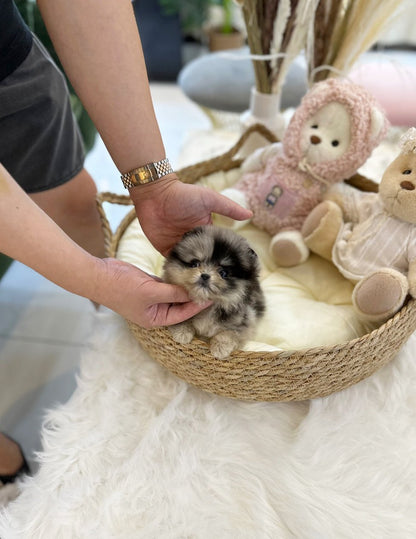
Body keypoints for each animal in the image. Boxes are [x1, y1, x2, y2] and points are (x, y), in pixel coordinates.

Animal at [162, 226, 264, 360]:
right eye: (195, 263)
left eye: (223, 273)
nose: (205, 275)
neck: (207, 307)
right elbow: (180, 318)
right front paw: (182, 332)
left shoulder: (244, 322)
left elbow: (229, 333)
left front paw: (220, 348)